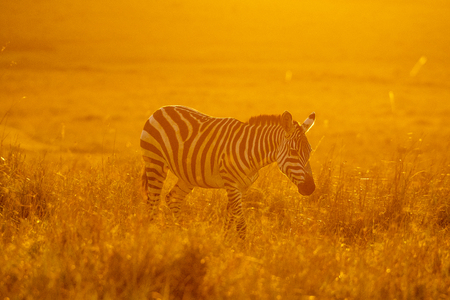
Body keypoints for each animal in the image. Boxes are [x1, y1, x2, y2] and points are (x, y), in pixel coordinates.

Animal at [139, 105, 314, 239]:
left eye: (310, 152)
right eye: (293, 151)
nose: (310, 188)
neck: (251, 151)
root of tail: (161, 109)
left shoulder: (241, 187)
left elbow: (230, 220)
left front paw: (225, 245)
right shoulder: (231, 184)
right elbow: (241, 225)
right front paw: (242, 253)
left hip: (187, 176)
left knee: (172, 198)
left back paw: (182, 233)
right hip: (156, 163)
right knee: (152, 203)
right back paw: (151, 236)